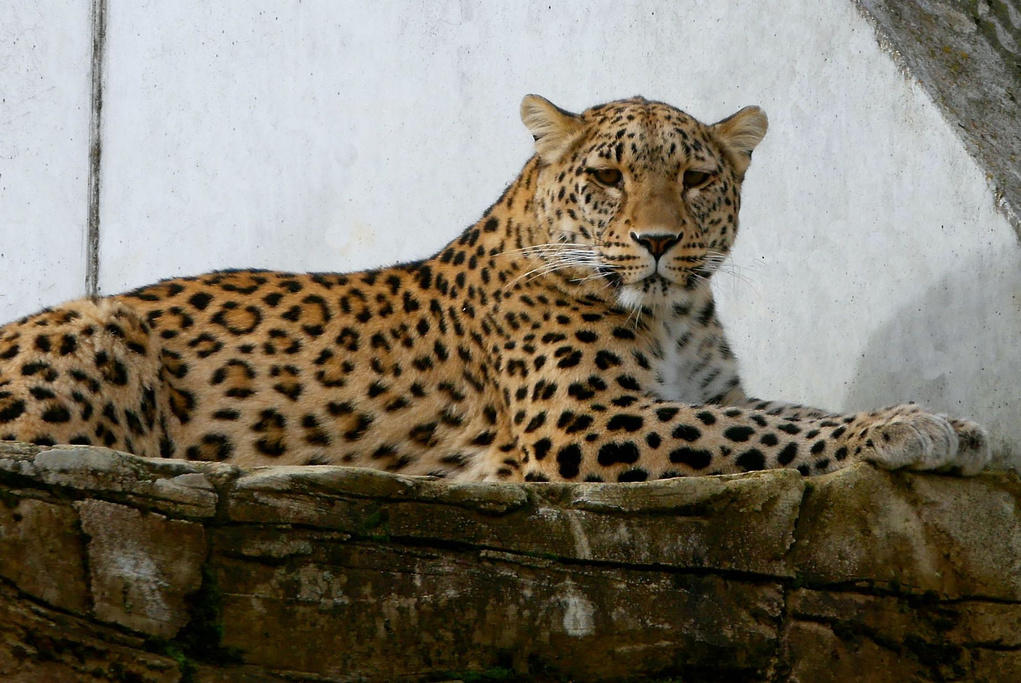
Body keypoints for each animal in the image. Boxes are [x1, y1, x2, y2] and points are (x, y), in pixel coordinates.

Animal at [0, 95, 991, 482]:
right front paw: (909, 429)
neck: (672, 312)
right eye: (606, 176)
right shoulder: (586, 421)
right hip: (96, 326)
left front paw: (939, 419)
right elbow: (765, 435)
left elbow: (785, 413)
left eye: (697, 178)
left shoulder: (703, 394)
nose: (658, 241)